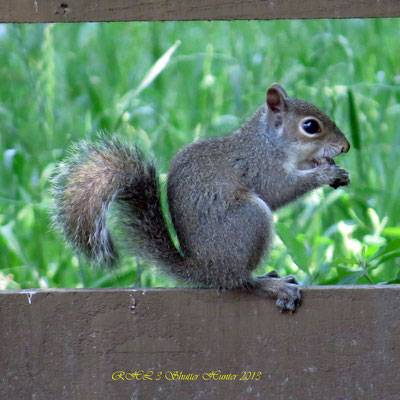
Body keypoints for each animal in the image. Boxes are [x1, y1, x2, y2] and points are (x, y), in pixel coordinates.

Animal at [50, 85, 350, 312]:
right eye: (310, 126)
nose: (345, 146)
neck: (267, 143)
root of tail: (203, 270)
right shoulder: (259, 168)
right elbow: (280, 190)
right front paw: (325, 172)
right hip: (250, 219)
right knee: (238, 282)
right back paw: (269, 285)